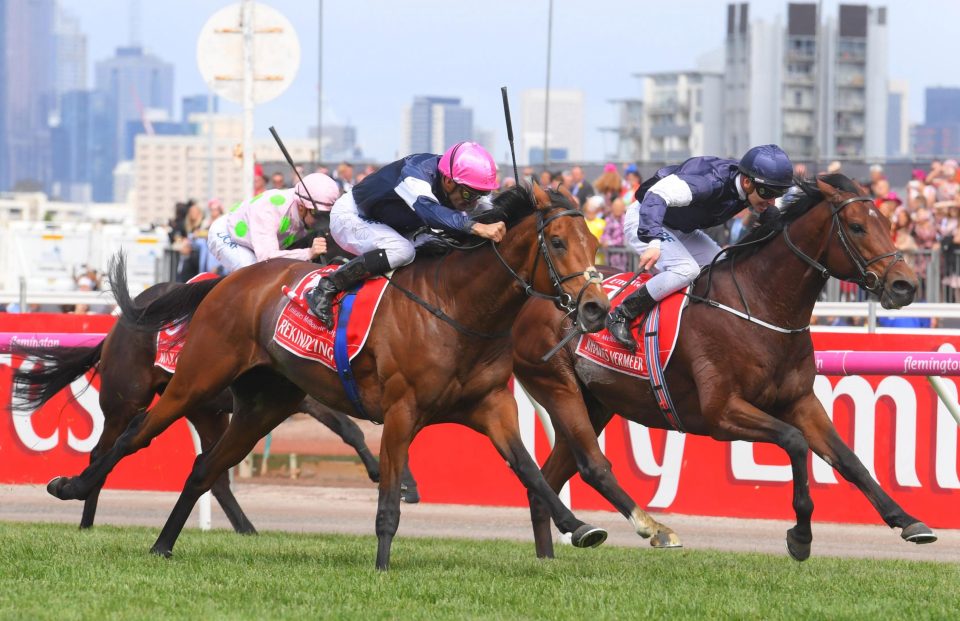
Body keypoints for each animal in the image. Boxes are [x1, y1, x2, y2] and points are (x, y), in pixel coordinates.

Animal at [9, 280, 418, 528]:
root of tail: (117, 326)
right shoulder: (303, 392)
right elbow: (348, 427)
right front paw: (390, 477)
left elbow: (351, 429)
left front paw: (402, 481)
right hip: (127, 398)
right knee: (102, 452)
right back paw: (85, 519)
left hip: (202, 408)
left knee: (215, 474)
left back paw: (248, 529)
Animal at [512, 176, 932, 560]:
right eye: (858, 226)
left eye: (888, 224)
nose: (906, 285)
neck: (761, 307)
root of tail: (532, 296)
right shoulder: (722, 413)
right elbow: (795, 442)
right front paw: (800, 536)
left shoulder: (799, 401)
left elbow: (849, 459)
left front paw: (909, 521)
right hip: (559, 387)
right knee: (590, 465)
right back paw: (655, 529)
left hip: (595, 404)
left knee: (546, 483)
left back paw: (549, 559)